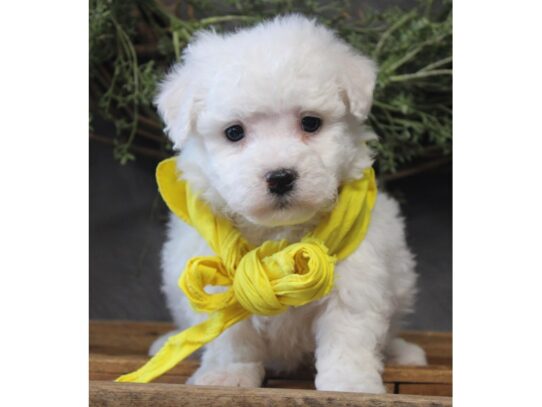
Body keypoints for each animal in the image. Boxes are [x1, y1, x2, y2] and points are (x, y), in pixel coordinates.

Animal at [151, 14, 428, 394]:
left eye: (310, 122)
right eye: (234, 132)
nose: (280, 177)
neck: (278, 237)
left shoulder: (355, 279)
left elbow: (348, 336)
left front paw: (349, 383)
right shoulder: (218, 276)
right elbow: (230, 336)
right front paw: (227, 375)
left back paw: (402, 351)